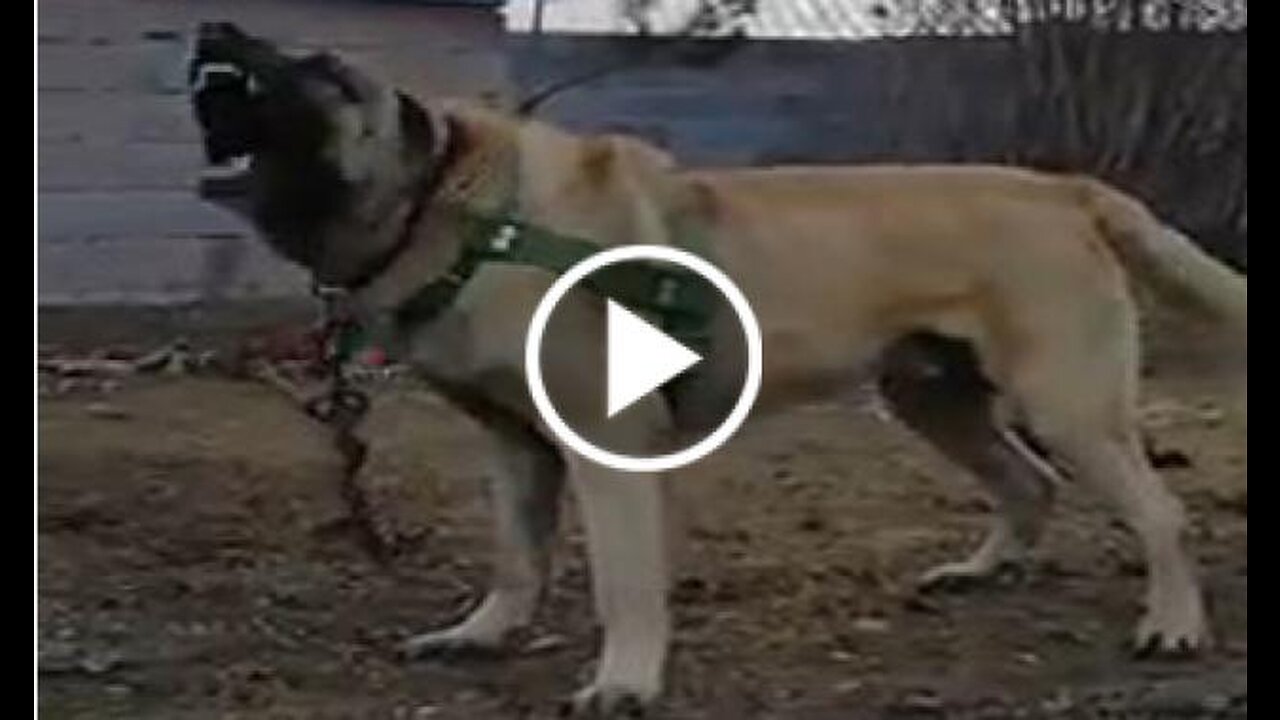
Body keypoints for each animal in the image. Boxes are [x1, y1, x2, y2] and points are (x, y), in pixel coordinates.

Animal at [189, 22, 1249, 712]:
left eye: (322, 71)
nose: (213, 28)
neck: (468, 210)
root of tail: (1064, 189)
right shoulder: (516, 450)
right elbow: (517, 559)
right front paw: (484, 633)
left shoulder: (607, 454)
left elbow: (623, 581)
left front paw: (623, 681)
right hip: (930, 396)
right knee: (1028, 483)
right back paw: (986, 572)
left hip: (1064, 403)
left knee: (1160, 513)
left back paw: (1173, 626)